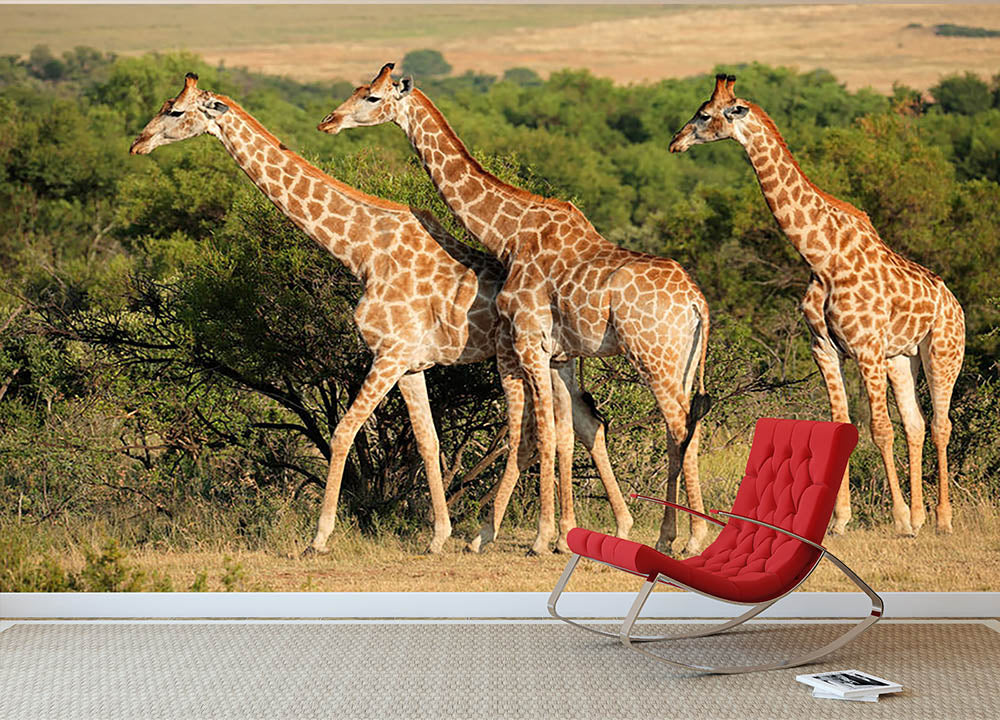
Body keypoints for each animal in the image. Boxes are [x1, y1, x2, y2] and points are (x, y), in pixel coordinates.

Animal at [128, 73, 633, 555]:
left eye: (175, 111)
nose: (138, 143)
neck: (362, 250)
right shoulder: (409, 364)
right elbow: (429, 442)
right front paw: (438, 536)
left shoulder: (388, 354)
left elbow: (342, 432)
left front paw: (319, 537)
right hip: (558, 359)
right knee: (579, 425)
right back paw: (582, 530)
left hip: (518, 356)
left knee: (537, 433)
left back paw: (517, 535)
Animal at [319, 64, 712, 556]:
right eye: (357, 90)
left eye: (371, 97)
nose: (329, 121)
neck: (509, 231)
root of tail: (698, 302)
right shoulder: (555, 353)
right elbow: (561, 431)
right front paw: (557, 535)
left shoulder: (529, 342)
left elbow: (543, 433)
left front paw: (542, 538)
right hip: (680, 362)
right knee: (685, 429)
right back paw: (669, 535)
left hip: (653, 357)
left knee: (679, 428)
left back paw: (691, 538)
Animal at [670, 74, 966, 535]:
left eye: (703, 115)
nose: (675, 142)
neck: (821, 256)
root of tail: (955, 304)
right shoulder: (825, 348)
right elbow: (841, 425)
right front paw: (839, 521)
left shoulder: (865, 349)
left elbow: (880, 428)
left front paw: (897, 518)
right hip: (903, 357)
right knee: (917, 424)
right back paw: (920, 516)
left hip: (943, 352)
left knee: (940, 425)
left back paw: (940, 519)